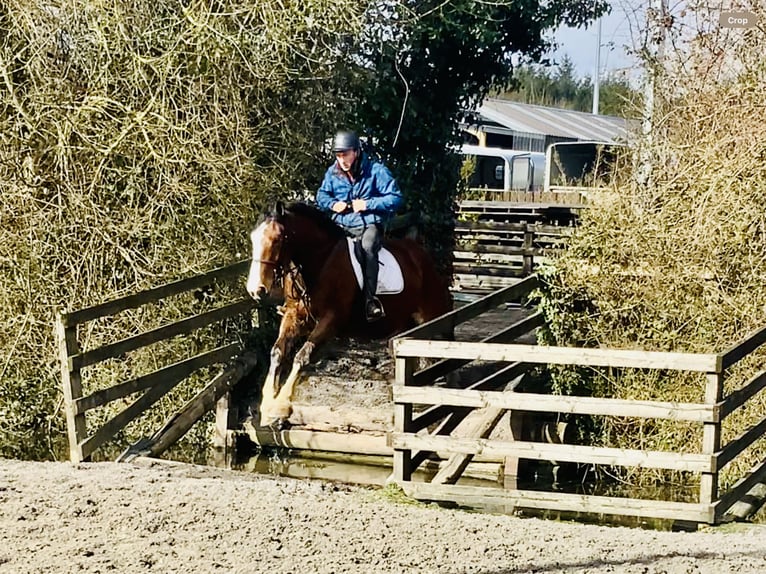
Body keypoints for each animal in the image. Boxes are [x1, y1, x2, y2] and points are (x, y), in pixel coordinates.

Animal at [246, 202, 452, 428]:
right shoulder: (293, 316)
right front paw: (267, 407)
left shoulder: (331, 320)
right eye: (253, 239)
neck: (318, 262)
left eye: (277, 239)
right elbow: (277, 352)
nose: (256, 290)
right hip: (403, 325)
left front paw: (280, 406)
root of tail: (419, 253)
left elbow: (303, 356)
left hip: (432, 314)